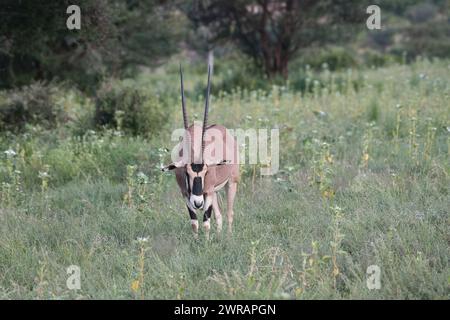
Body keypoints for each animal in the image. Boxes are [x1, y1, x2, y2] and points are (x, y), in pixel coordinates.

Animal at [162, 64, 239, 238]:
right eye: (186, 173)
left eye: (205, 172)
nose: (198, 203)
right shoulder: (186, 193)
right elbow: (194, 222)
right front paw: (196, 240)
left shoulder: (207, 193)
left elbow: (205, 222)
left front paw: (206, 242)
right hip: (213, 192)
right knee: (219, 215)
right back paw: (219, 235)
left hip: (230, 183)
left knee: (229, 213)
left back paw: (229, 236)